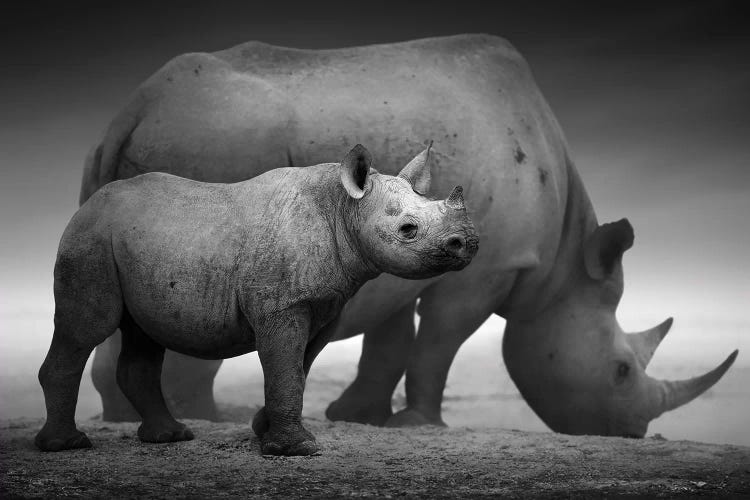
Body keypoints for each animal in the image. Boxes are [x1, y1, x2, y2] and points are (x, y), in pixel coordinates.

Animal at [35, 143, 478, 456]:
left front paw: (263, 431)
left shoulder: (325, 305)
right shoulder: (282, 306)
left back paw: (170, 436)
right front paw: (295, 450)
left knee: (142, 335)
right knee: (88, 328)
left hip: (130, 242)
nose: (468, 243)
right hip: (90, 238)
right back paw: (66, 445)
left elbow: (298, 368)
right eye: (408, 229)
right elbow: (285, 368)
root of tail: (88, 204)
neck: (344, 209)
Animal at [83, 33, 740, 436]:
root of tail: (132, 110)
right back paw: (209, 419)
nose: (632, 432)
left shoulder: (402, 249)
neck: (560, 268)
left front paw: (359, 416)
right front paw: (418, 424)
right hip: (216, 144)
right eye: (622, 371)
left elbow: (391, 339)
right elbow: (439, 342)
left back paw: (132, 421)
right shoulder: (491, 266)